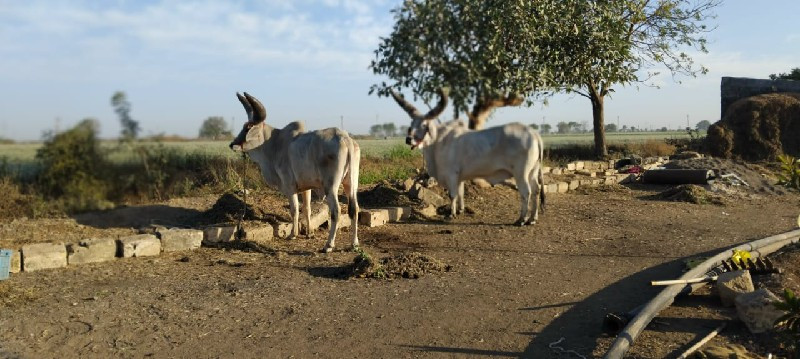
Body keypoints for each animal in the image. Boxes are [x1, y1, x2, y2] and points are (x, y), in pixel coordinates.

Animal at [230, 93, 358, 253]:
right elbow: (307, 209)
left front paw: (293, 234)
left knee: (336, 211)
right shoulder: (306, 188)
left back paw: (329, 245)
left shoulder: (289, 186)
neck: (274, 144)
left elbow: (295, 209)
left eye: (248, 128)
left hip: (331, 186)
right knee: (354, 209)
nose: (232, 144)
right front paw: (309, 233)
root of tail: (345, 139)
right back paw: (354, 243)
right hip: (351, 183)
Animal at [392, 90, 548, 225]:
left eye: (424, 125)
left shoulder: (451, 174)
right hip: (533, 171)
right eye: (412, 124)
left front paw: (451, 214)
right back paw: (532, 219)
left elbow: (452, 194)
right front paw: (460, 210)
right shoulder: (460, 176)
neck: (439, 141)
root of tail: (534, 133)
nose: (408, 139)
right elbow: (460, 193)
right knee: (536, 190)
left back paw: (521, 220)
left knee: (526, 192)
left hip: (521, 173)